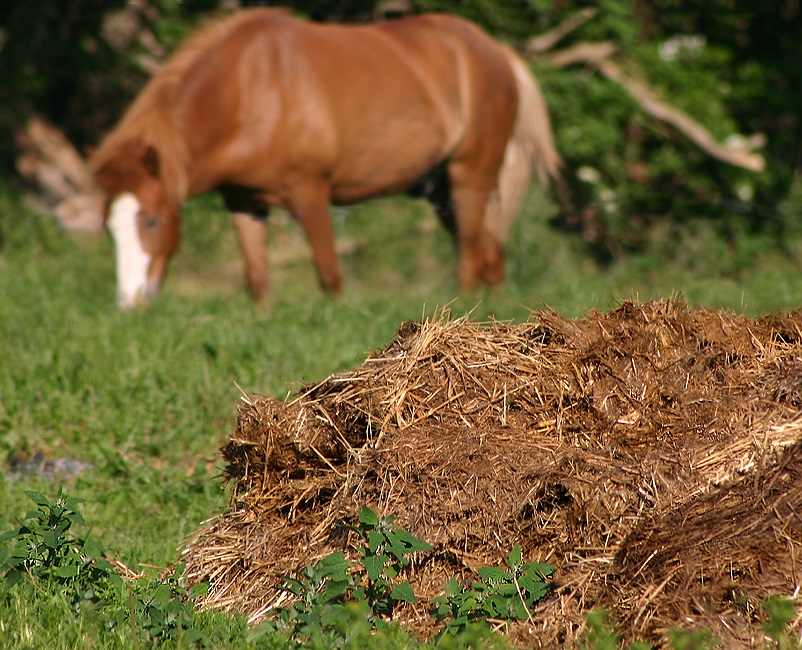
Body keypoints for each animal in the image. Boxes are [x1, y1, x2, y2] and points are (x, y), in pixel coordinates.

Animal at [90, 7, 560, 306]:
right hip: (440, 190)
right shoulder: (244, 202)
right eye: (109, 228)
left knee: (469, 255)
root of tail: (498, 52)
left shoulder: (310, 194)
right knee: (489, 251)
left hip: (470, 177)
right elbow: (257, 280)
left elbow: (330, 276)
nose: (130, 303)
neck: (250, 90)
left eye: (152, 220)